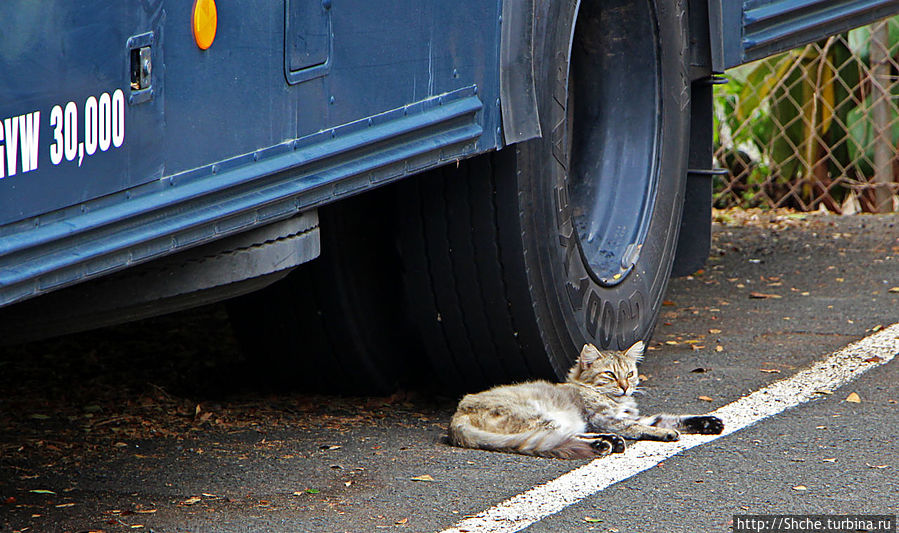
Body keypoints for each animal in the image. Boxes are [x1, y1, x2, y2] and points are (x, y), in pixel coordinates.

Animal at [450, 340, 724, 458]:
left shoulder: (635, 417)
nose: (626, 387)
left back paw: (610, 442)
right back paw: (604, 444)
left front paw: (708, 422)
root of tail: (456, 418)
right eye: (611, 375)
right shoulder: (605, 419)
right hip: (540, 418)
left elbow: (672, 418)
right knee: (561, 438)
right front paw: (665, 434)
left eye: (630, 373)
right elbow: (639, 427)